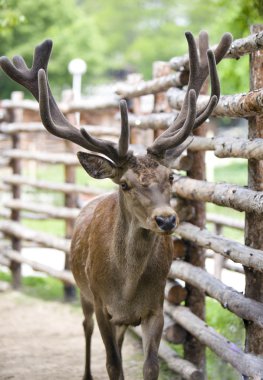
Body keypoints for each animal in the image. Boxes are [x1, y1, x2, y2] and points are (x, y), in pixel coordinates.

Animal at [0, 30, 232, 380]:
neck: (126, 290)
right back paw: (86, 373)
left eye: (171, 176)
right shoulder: (101, 304)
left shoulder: (156, 309)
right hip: (82, 291)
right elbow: (112, 364)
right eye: (125, 184)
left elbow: (149, 367)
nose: (166, 219)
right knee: (85, 328)